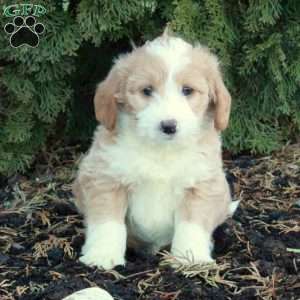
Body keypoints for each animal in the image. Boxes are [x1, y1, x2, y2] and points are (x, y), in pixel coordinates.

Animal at [73, 30, 239, 270]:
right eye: (147, 91)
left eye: (187, 90)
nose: (169, 126)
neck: (162, 151)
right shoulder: (105, 179)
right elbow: (107, 222)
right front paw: (102, 255)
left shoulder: (201, 184)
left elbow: (192, 224)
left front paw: (190, 258)